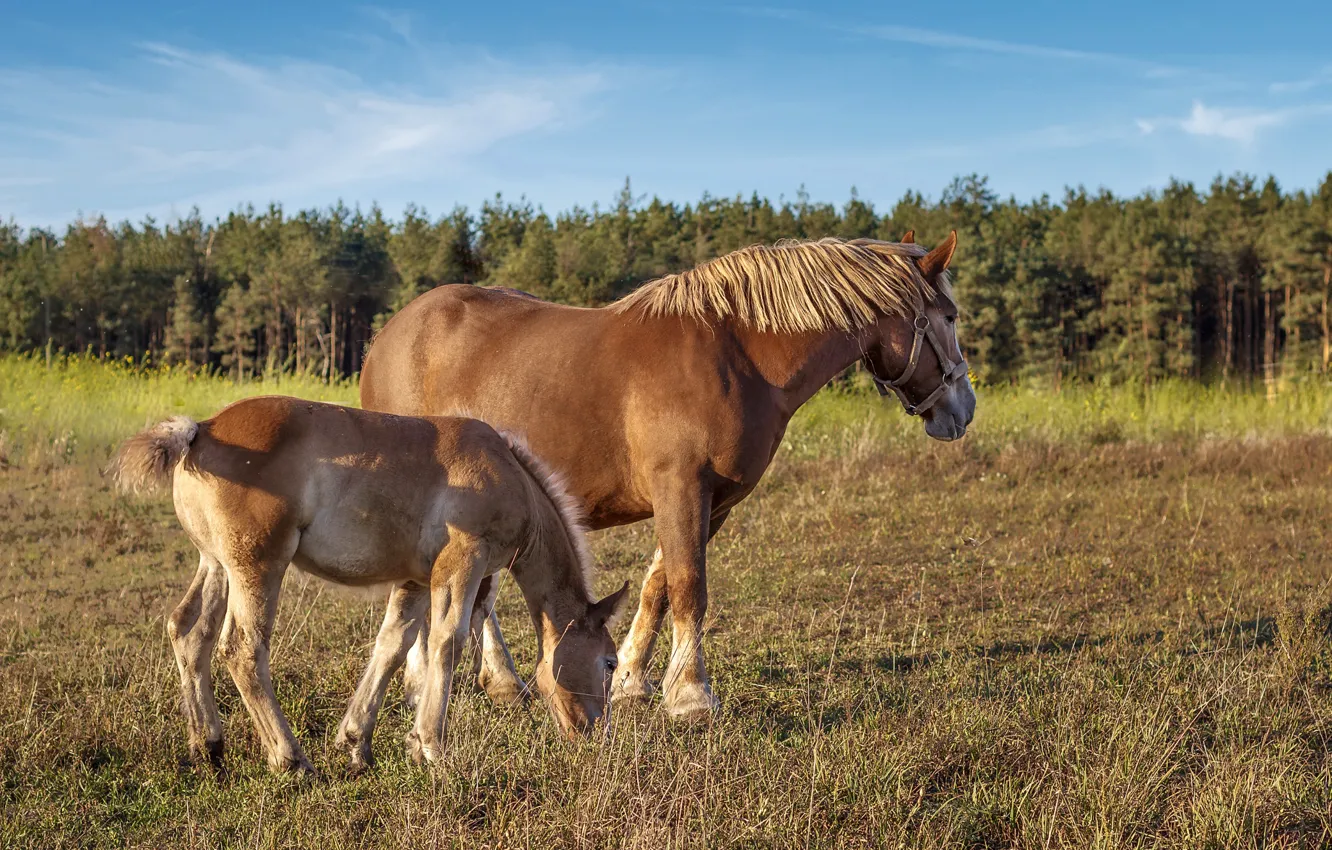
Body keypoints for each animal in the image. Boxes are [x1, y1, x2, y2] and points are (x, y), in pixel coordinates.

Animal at [109, 396, 629, 774]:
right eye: (609, 662)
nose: (595, 735)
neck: (507, 470)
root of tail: (200, 429)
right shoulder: (464, 563)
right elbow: (447, 642)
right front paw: (432, 747)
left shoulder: (416, 579)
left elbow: (394, 645)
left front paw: (359, 743)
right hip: (257, 568)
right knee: (242, 649)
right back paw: (291, 760)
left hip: (216, 565)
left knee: (188, 632)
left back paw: (208, 747)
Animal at [359, 230, 973, 718]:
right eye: (949, 317)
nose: (962, 410)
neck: (738, 356)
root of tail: (386, 336)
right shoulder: (681, 486)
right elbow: (689, 586)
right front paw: (693, 697)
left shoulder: (711, 501)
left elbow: (659, 585)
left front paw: (634, 679)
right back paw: (447, 682)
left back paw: (498, 682)